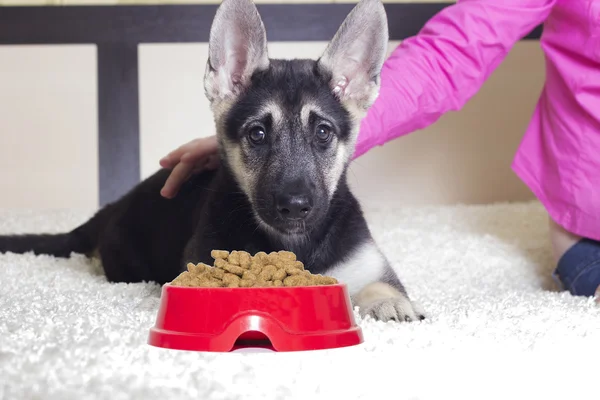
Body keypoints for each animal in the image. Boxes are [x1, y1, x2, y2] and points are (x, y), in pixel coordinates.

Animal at [0, 0, 422, 322]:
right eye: (257, 134)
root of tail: (116, 205)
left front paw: (391, 304)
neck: (294, 242)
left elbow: (380, 286)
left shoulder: (367, 265)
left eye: (322, 132)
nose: (294, 206)